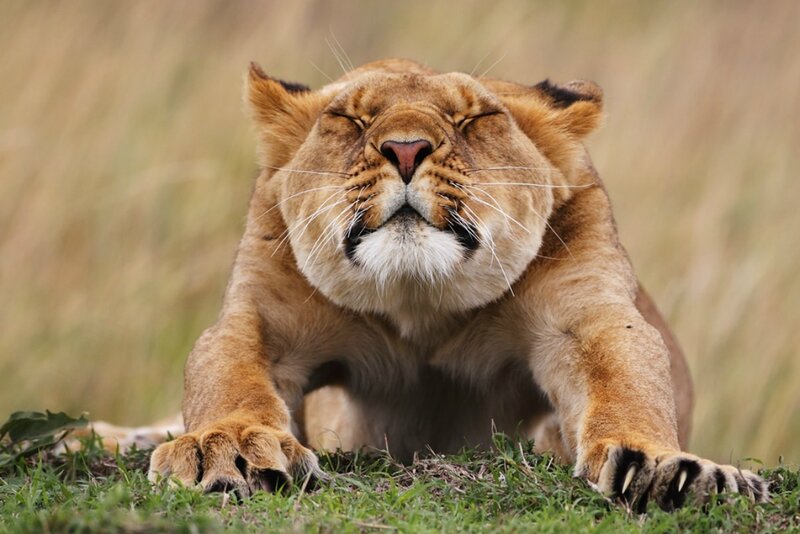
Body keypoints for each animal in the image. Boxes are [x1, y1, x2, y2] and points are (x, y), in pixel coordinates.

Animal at [143, 58, 767, 510]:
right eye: (351, 119)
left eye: (473, 120)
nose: (405, 149)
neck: (422, 305)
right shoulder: (262, 320)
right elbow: (227, 375)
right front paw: (225, 448)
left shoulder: (587, 318)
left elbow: (628, 384)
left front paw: (665, 467)